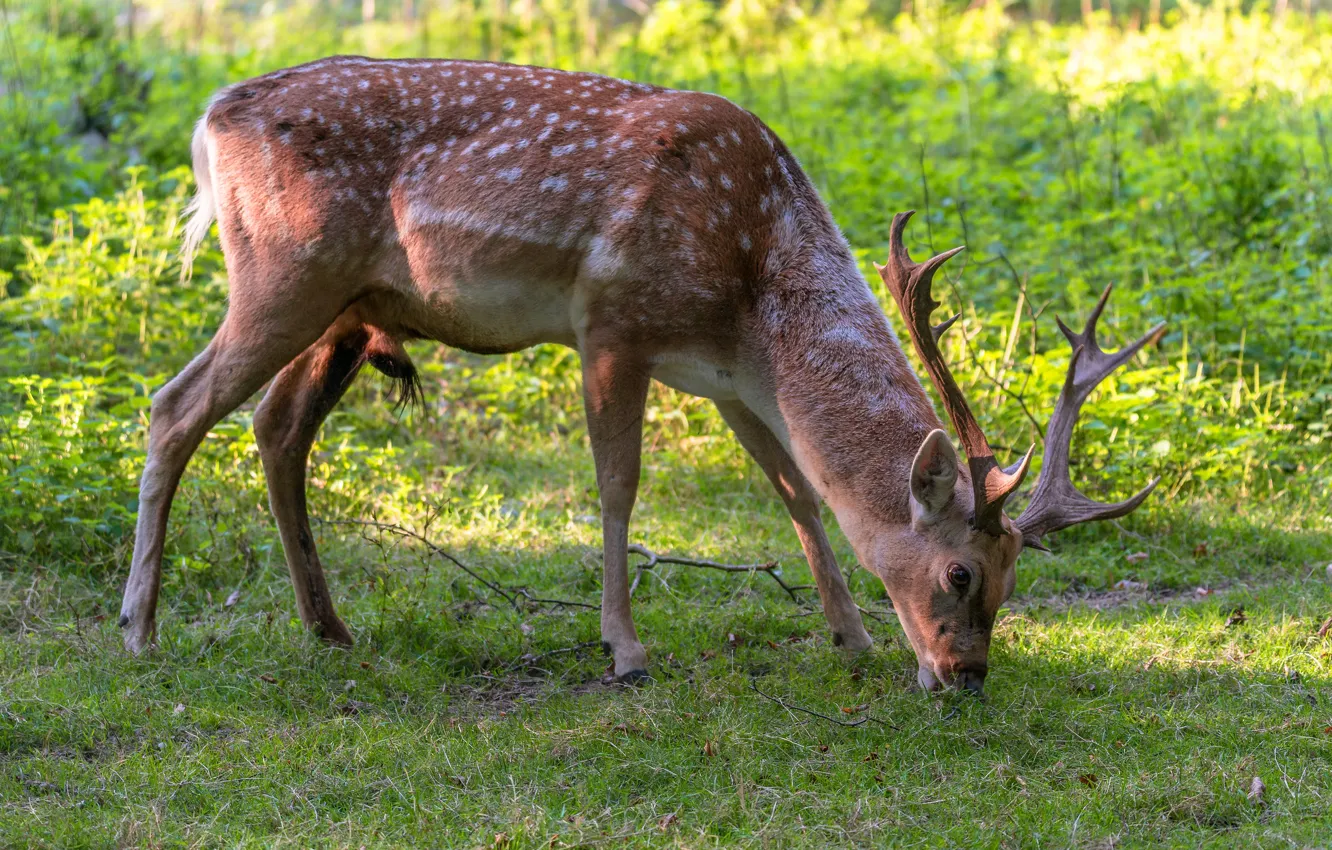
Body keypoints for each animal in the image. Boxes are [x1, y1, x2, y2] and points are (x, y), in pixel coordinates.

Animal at [118, 55, 1165, 694]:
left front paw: (852, 636)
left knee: (276, 427)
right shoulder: (610, 324)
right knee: (174, 407)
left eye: (1012, 580)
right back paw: (138, 630)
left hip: (347, 311)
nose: (966, 677)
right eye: (959, 571)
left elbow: (798, 492)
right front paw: (624, 649)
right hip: (283, 272)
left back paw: (328, 628)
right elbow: (619, 486)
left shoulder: (733, 380)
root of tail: (210, 121)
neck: (752, 280)